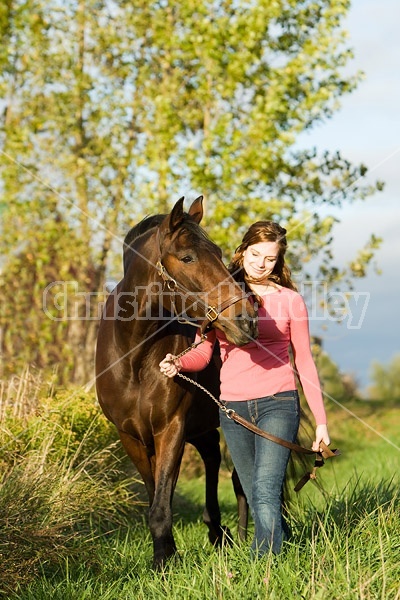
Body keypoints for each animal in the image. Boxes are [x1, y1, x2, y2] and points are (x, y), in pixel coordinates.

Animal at [94, 196, 256, 568]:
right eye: (187, 257)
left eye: (219, 251)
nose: (246, 320)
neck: (133, 355)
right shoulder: (131, 436)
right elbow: (156, 497)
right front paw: (165, 557)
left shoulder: (171, 428)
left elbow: (161, 504)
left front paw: (165, 562)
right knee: (213, 457)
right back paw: (218, 532)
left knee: (241, 477)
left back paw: (241, 537)